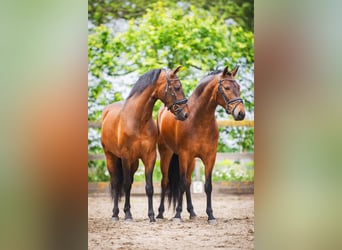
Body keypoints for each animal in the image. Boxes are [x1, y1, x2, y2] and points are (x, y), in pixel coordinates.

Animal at [101, 66, 188, 223]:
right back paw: (116, 214)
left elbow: (149, 187)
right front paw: (128, 215)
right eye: (177, 87)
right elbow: (126, 185)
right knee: (116, 183)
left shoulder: (149, 157)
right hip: (111, 157)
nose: (185, 114)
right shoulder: (125, 156)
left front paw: (152, 215)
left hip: (134, 163)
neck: (138, 121)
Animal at [156, 66, 244, 223]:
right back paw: (160, 213)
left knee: (188, 182)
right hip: (167, 154)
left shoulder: (210, 157)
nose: (241, 113)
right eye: (227, 87)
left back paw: (192, 212)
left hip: (191, 161)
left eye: (238, 87)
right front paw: (177, 215)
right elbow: (181, 184)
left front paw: (211, 215)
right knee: (165, 181)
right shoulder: (184, 156)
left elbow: (207, 186)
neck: (198, 120)